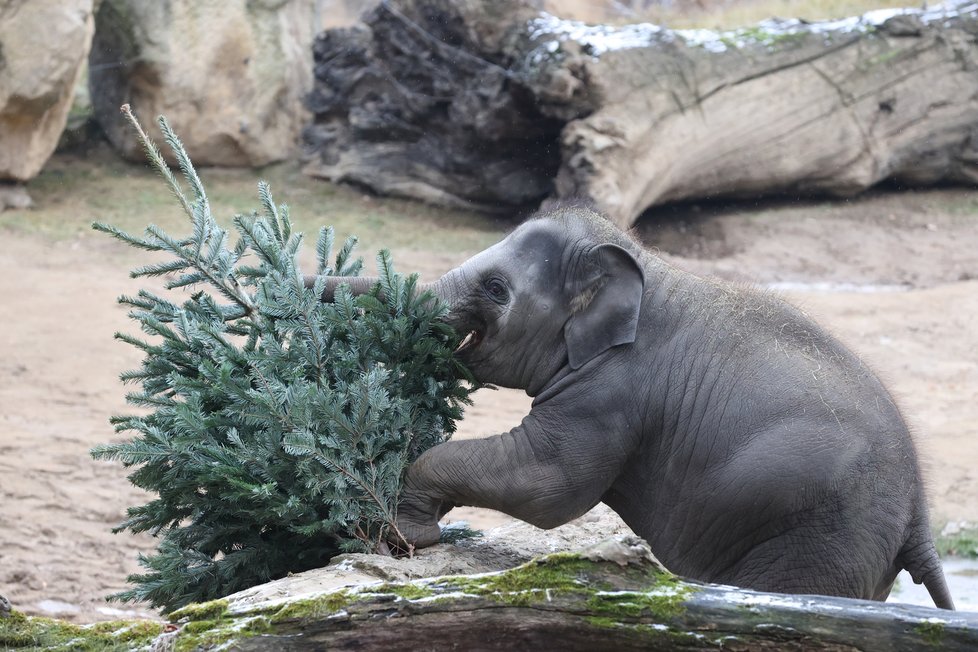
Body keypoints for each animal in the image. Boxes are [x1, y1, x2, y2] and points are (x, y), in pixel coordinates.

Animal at [308, 206, 948, 608]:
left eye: (495, 288)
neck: (640, 262)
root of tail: (920, 513)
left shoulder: (613, 391)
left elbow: (548, 487)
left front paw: (402, 536)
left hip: (817, 535)